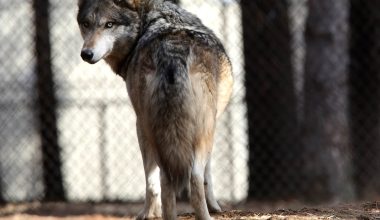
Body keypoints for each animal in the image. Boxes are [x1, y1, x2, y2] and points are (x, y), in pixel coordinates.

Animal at [75, 0, 233, 219]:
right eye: (86, 24)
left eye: (109, 24)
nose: (86, 54)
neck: (150, 21)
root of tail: (172, 54)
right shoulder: (212, 125)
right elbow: (208, 175)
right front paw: (215, 207)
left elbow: (153, 179)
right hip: (197, 131)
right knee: (192, 178)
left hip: (152, 129)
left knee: (163, 179)